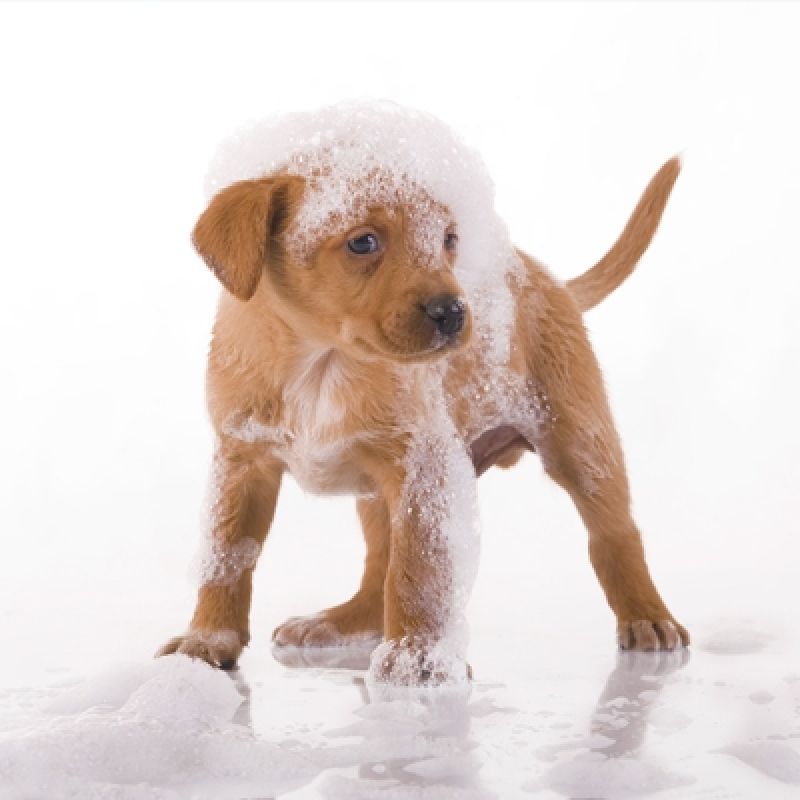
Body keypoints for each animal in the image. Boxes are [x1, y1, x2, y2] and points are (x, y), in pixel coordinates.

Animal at [155, 103, 688, 684]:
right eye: (363, 242)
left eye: (449, 240)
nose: (454, 313)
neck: (322, 364)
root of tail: (546, 278)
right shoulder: (242, 461)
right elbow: (226, 557)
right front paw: (209, 639)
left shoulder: (420, 466)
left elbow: (415, 569)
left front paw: (418, 655)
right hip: (376, 494)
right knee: (376, 566)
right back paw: (342, 621)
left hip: (581, 442)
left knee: (615, 534)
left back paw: (647, 615)